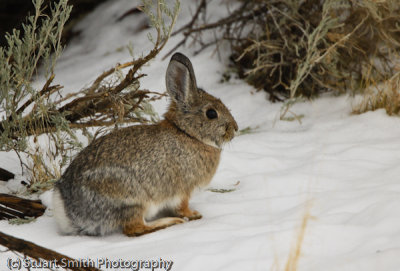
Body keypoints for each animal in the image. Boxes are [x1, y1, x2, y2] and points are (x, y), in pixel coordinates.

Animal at [50, 52, 238, 237]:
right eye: (211, 113)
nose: (235, 128)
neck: (187, 133)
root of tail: (68, 211)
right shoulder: (184, 190)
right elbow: (181, 207)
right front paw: (193, 214)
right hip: (133, 199)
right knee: (135, 229)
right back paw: (168, 222)